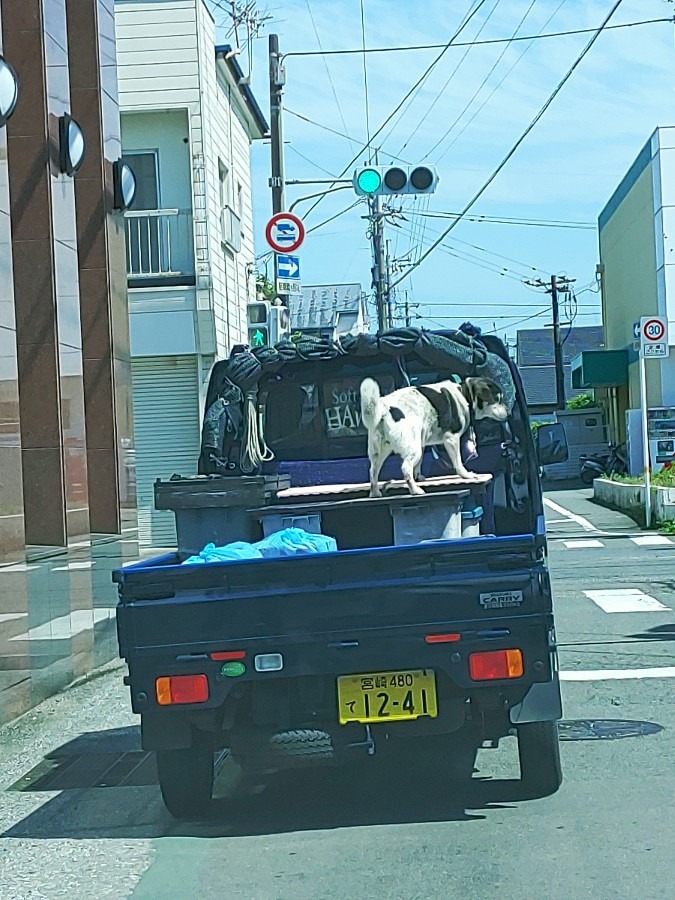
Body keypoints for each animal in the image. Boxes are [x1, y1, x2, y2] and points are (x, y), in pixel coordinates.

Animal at [360, 374, 508, 496]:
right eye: (498, 399)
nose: (508, 414)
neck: (465, 395)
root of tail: (385, 409)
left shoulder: (421, 441)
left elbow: (418, 465)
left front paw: (419, 477)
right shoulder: (451, 439)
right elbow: (458, 463)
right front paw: (467, 476)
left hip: (380, 453)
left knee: (373, 472)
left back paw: (375, 493)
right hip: (413, 449)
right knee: (405, 468)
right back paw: (415, 490)